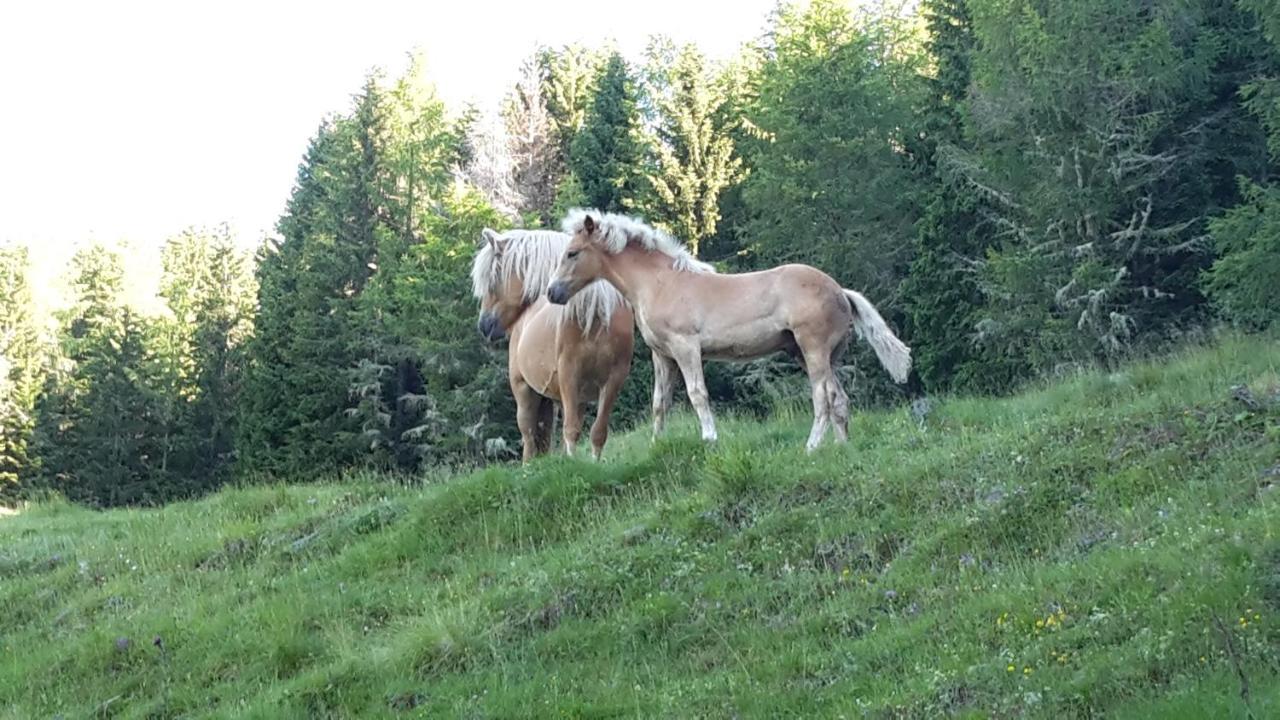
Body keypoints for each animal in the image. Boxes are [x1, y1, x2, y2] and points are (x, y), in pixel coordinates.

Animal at [471, 228, 634, 458]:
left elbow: (598, 432)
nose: (484, 325)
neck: (596, 314)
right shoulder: (569, 375)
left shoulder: (614, 380)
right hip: (523, 389)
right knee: (529, 437)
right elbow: (571, 430)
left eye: (493, 279)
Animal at [547, 210, 911, 450]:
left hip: (814, 350)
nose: (553, 293)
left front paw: (710, 437)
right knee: (841, 399)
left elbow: (697, 393)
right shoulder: (662, 355)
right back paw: (841, 447)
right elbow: (659, 402)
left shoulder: (686, 347)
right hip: (819, 354)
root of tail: (840, 291)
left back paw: (811, 447)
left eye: (572, 253)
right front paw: (656, 444)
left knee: (823, 397)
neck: (660, 283)